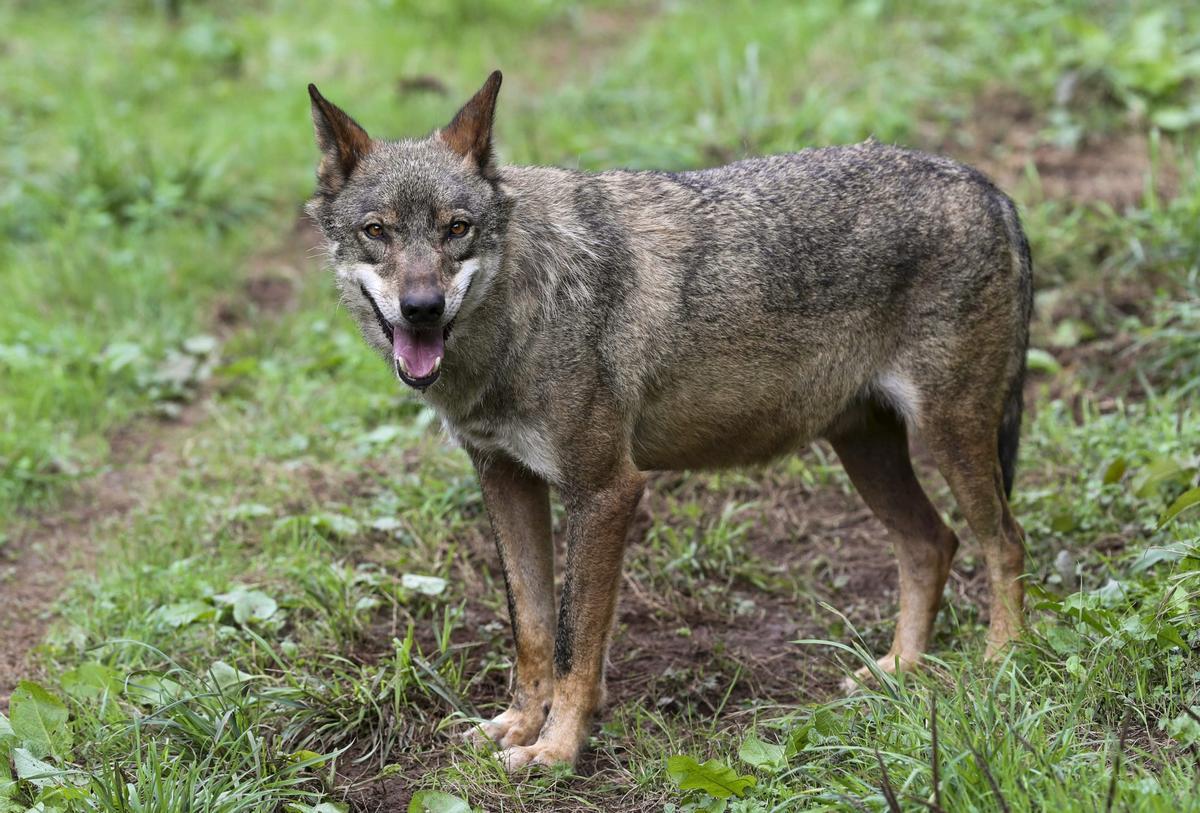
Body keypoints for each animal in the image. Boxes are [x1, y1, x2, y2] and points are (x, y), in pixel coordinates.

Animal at [305, 71, 1032, 771]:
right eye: (377, 231)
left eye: (456, 229)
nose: (422, 308)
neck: (522, 312)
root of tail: (987, 186)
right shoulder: (506, 480)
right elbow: (533, 628)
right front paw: (518, 724)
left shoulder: (607, 491)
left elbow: (575, 643)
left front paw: (557, 750)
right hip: (866, 450)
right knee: (932, 543)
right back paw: (899, 672)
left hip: (950, 437)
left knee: (1005, 542)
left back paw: (1002, 666)